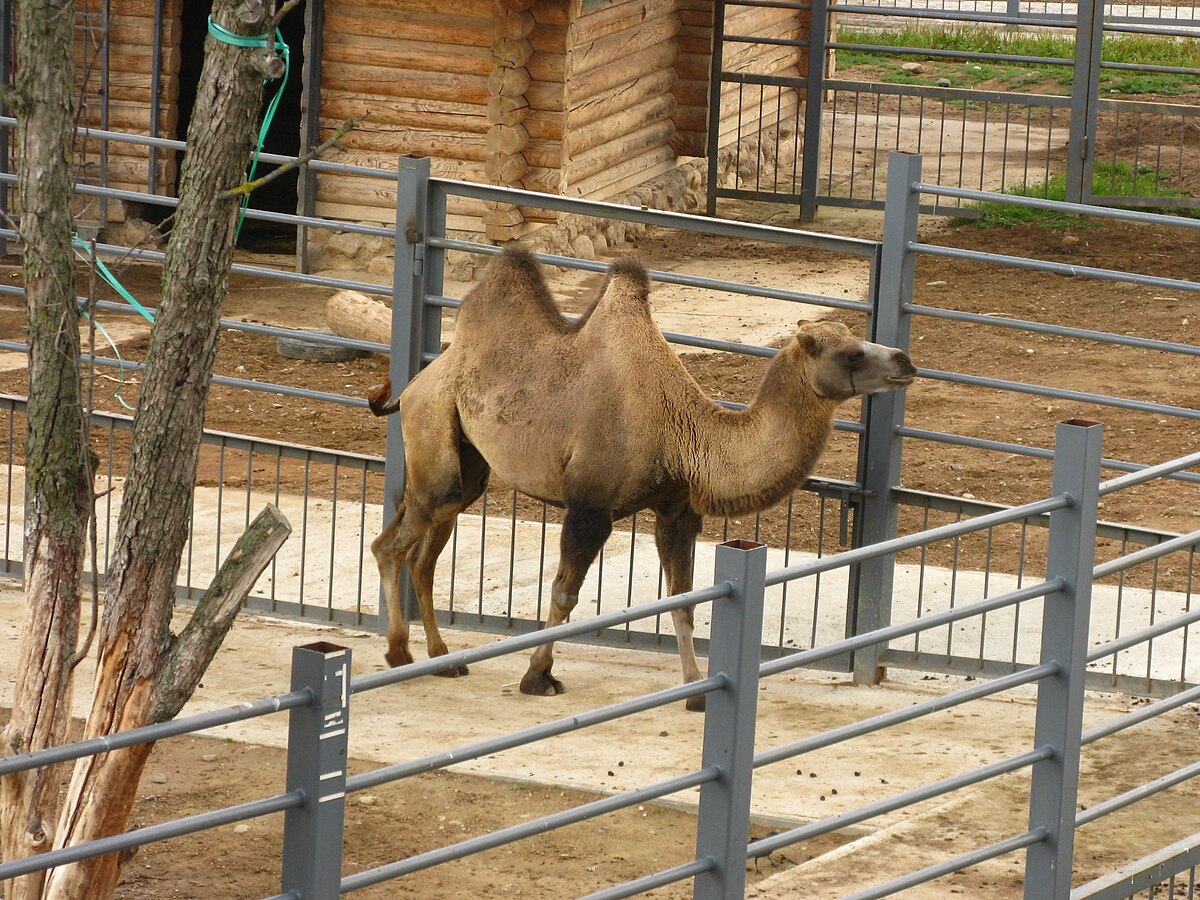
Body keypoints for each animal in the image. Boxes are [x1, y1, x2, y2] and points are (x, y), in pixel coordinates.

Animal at [369, 248, 912, 710]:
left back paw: (441, 657)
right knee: (393, 544)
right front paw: (538, 677)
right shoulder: (591, 506)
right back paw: (399, 653)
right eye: (851, 354)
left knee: (422, 551)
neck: (681, 432)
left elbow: (684, 600)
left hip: (466, 463)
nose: (905, 360)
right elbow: (564, 593)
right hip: (434, 431)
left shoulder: (676, 509)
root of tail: (413, 384)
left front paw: (695, 690)